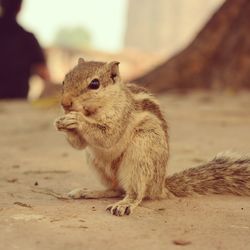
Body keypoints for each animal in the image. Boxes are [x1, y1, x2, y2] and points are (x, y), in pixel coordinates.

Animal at [54, 59, 250, 217]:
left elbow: (108, 136)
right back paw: (89, 192)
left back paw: (124, 204)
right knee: (116, 189)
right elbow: (79, 144)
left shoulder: (121, 116)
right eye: (64, 80)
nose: (64, 103)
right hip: (97, 163)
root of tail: (160, 187)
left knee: (135, 193)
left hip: (140, 155)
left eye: (95, 84)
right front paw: (61, 122)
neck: (94, 111)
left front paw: (76, 119)